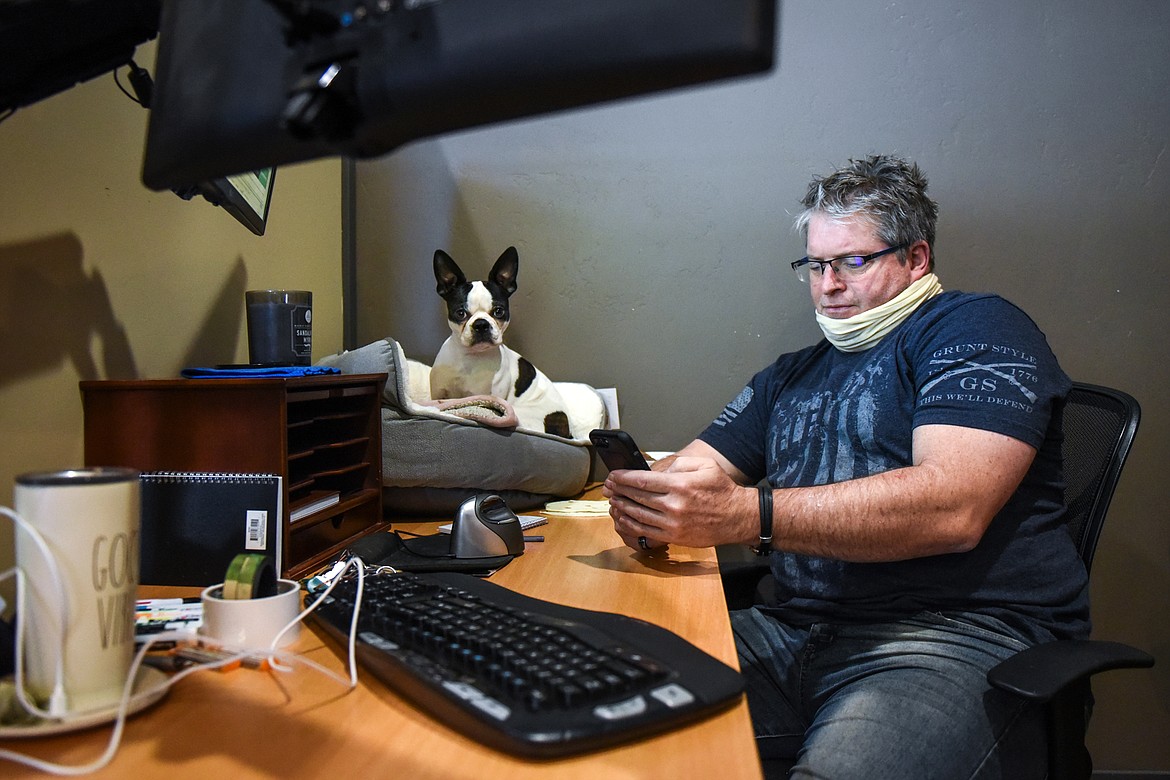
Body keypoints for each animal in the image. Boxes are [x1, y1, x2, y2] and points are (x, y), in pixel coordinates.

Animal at [430, 246, 575, 437]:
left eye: (499, 311)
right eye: (460, 313)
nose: (481, 324)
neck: (471, 357)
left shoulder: (487, 397)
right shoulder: (439, 393)